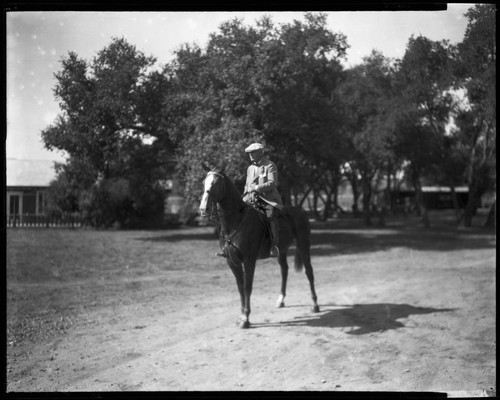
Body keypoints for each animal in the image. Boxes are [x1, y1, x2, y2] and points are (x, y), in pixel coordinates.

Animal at [200, 162, 320, 328]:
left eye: (217, 183)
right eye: (203, 182)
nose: (203, 208)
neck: (235, 222)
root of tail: (300, 211)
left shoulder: (249, 261)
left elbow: (247, 287)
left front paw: (246, 318)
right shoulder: (232, 262)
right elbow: (240, 287)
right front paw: (241, 315)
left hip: (303, 244)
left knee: (309, 272)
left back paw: (315, 305)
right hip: (282, 250)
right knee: (284, 270)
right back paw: (281, 300)